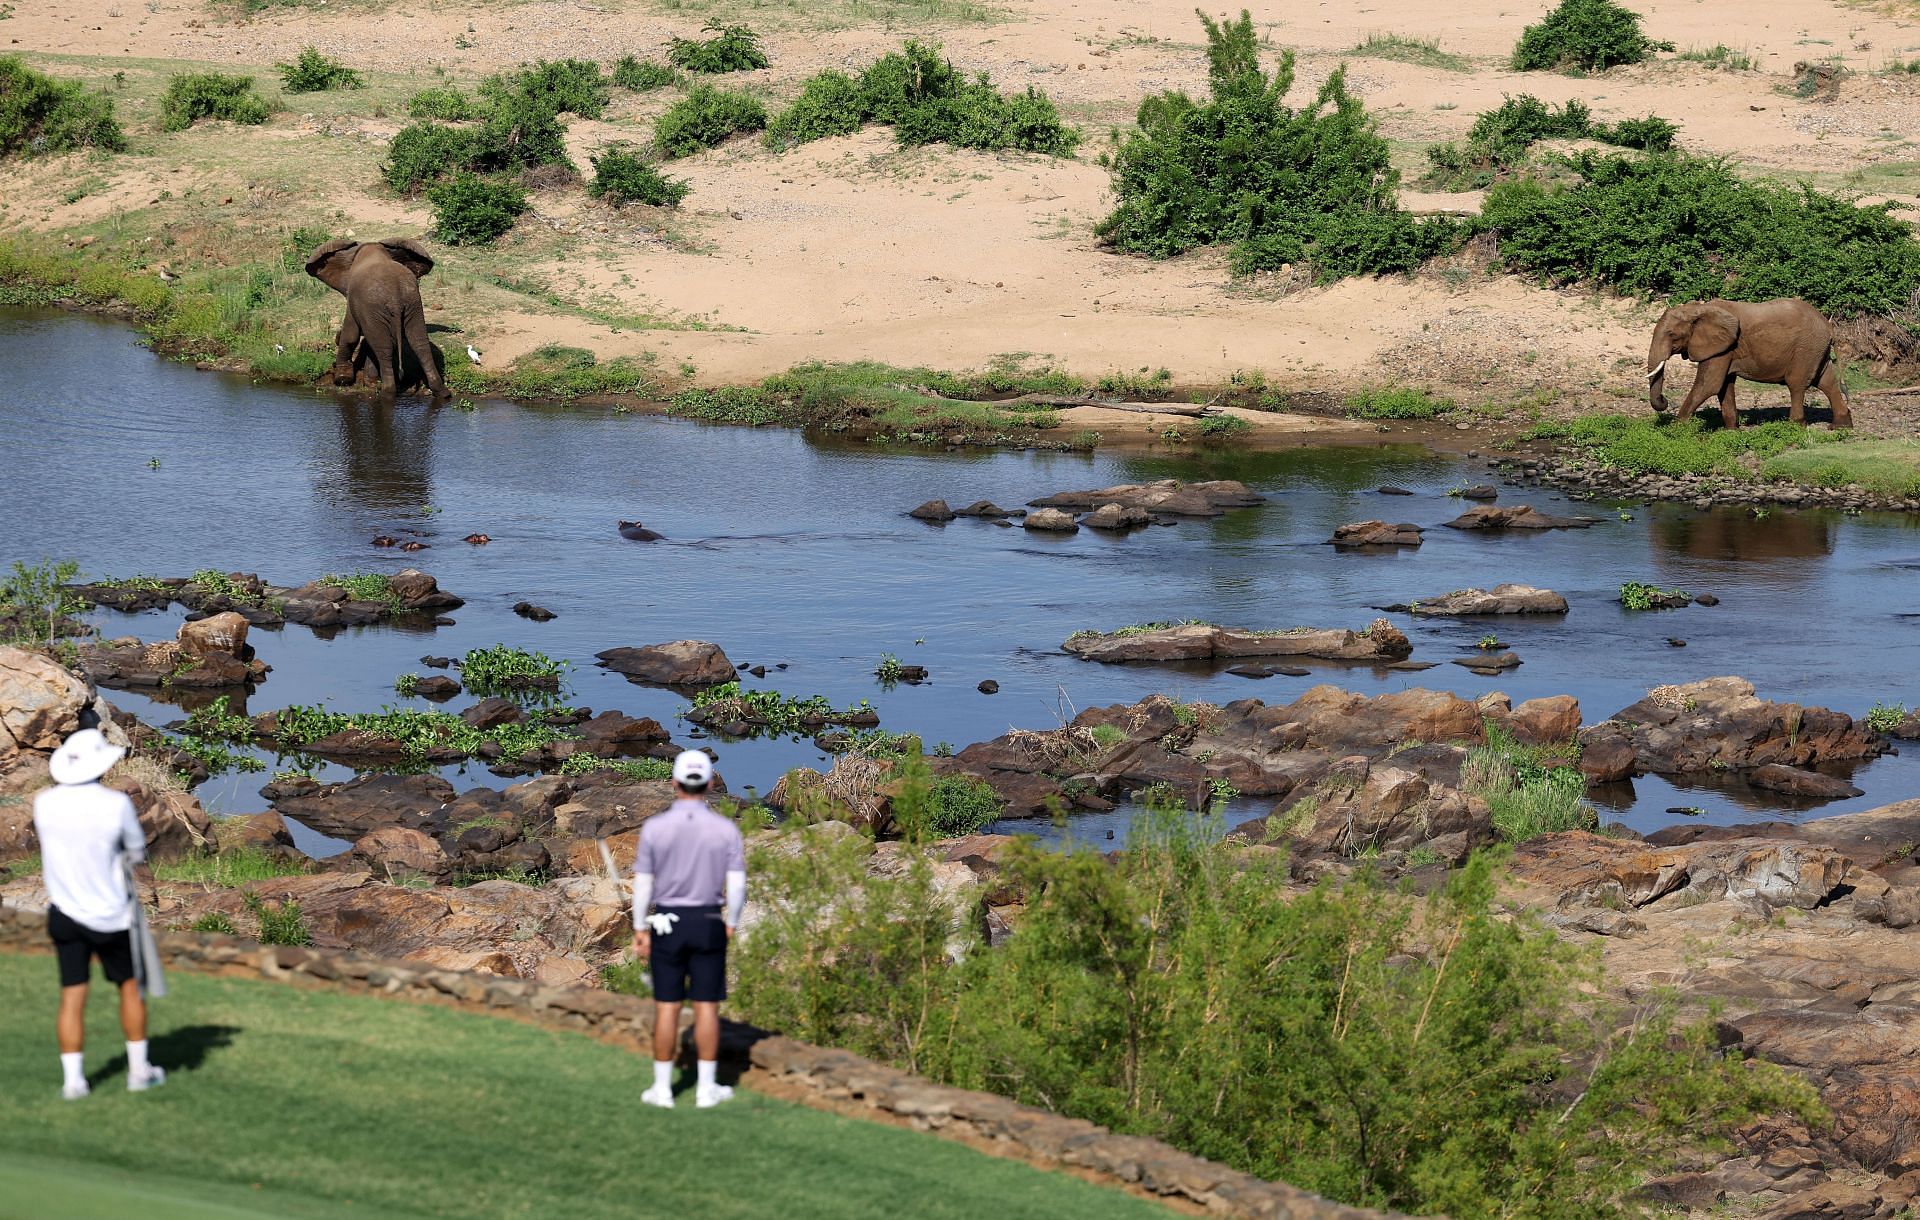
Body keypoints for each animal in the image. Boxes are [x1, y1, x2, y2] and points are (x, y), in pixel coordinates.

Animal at [301, 240, 447, 405]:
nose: (335, 337)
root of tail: (395, 299)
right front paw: (370, 382)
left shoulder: (355, 299)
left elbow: (351, 335)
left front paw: (342, 380)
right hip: (413, 304)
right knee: (420, 345)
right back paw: (443, 393)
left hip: (380, 306)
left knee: (384, 349)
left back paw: (387, 394)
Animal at [1643, 297, 1850, 432]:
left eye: (1672, 335)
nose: (1664, 400)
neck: (1699, 309)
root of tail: (1828, 325)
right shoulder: (1725, 349)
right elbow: (1723, 386)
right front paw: (1731, 432)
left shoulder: (1722, 347)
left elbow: (1709, 385)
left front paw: (1676, 430)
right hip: (1816, 349)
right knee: (1827, 382)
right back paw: (1840, 426)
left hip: (1805, 348)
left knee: (1797, 383)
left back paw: (1795, 426)